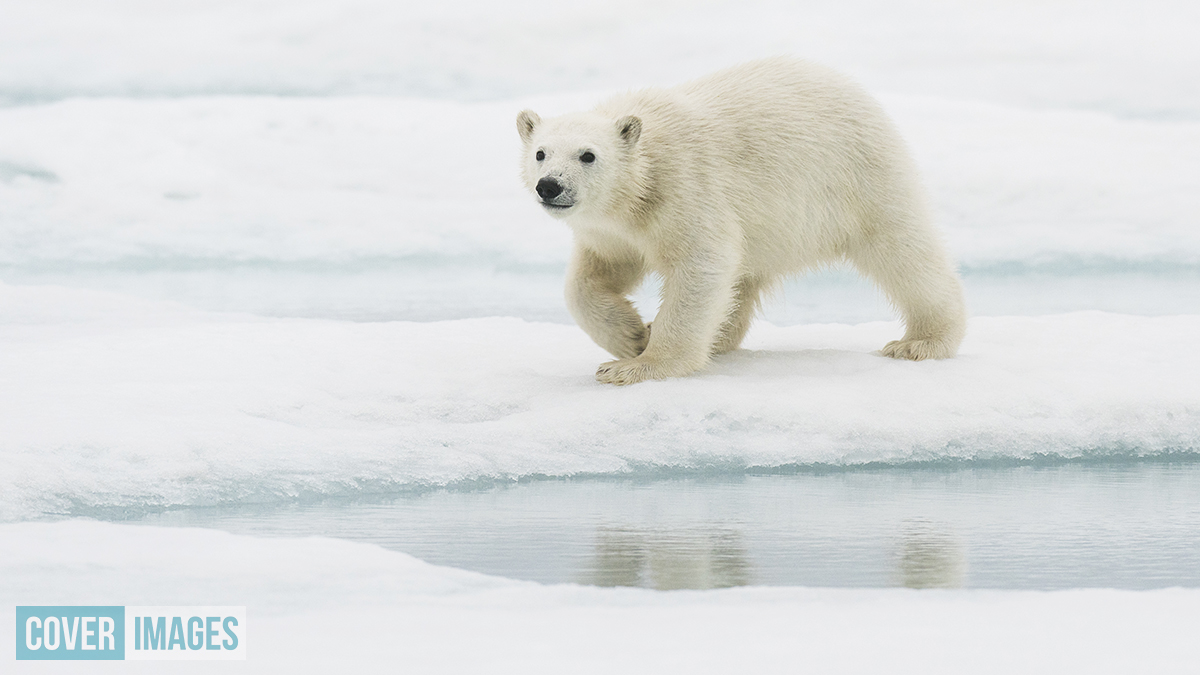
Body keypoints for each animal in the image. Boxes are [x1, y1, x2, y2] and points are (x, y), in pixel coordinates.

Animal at [517, 57, 966, 385]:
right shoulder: (611, 231)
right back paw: (719, 338)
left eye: (587, 155)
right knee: (742, 280)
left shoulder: (686, 189)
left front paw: (637, 364)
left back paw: (922, 341)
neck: (639, 188)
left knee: (903, 252)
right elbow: (593, 277)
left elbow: (701, 265)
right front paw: (631, 335)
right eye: (540, 152)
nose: (550, 186)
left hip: (859, 179)